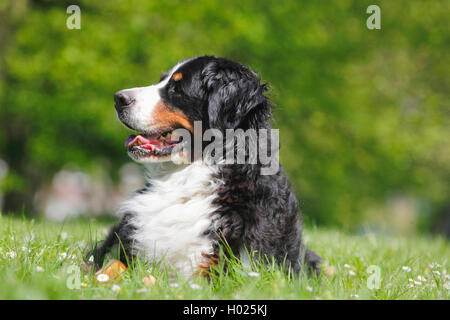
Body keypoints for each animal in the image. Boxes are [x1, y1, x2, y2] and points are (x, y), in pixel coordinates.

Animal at [89, 55, 320, 278]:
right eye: (161, 79)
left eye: (176, 88)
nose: (118, 98)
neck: (184, 181)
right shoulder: (127, 245)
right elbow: (112, 265)